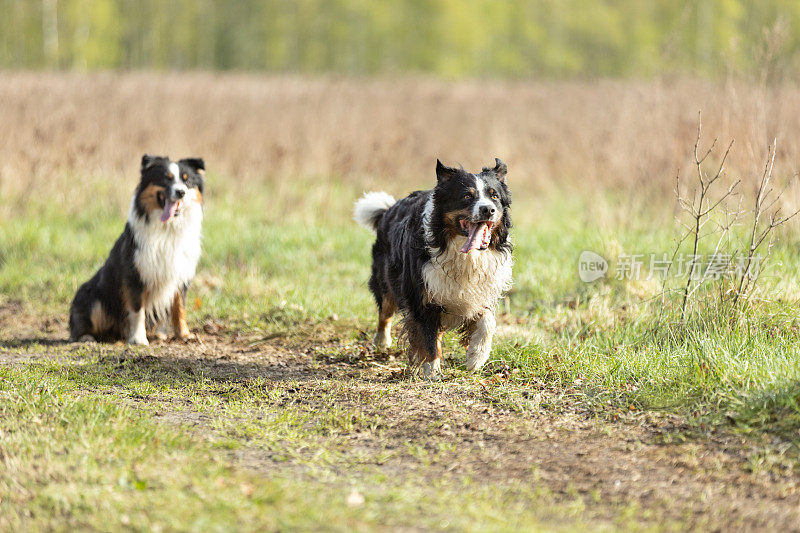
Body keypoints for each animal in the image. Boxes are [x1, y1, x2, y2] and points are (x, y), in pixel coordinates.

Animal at [69, 154, 206, 344]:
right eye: (166, 179)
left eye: (188, 181)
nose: (181, 192)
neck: (168, 229)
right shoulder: (135, 274)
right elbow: (137, 309)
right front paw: (138, 338)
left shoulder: (180, 275)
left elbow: (179, 307)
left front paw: (184, 334)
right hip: (92, 298)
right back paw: (86, 337)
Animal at [354, 158, 512, 378]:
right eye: (467, 196)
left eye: (494, 196)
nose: (488, 209)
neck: (465, 254)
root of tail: (389, 209)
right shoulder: (421, 294)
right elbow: (427, 336)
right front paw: (432, 370)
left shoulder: (480, 291)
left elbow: (487, 322)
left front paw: (476, 356)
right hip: (387, 278)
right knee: (385, 310)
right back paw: (381, 342)